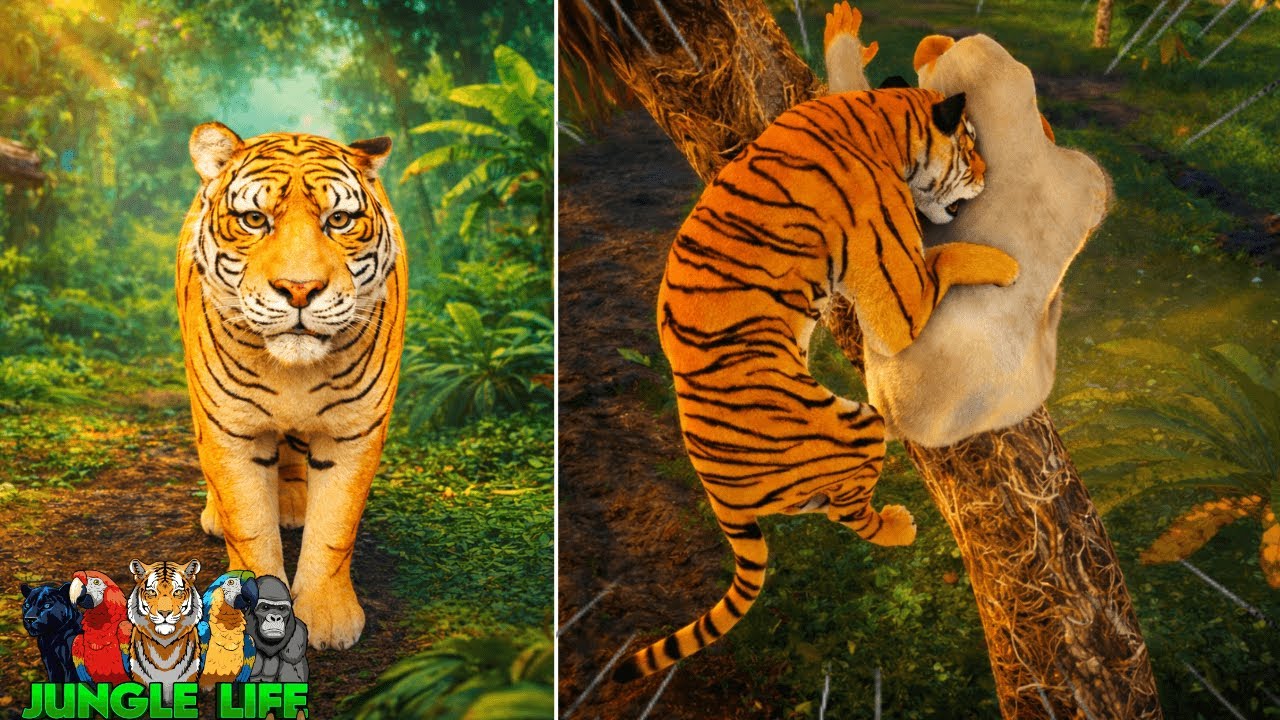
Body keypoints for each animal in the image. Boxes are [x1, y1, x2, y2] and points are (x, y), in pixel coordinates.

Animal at [178, 123, 407, 650]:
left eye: (339, 220)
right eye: (254, 220)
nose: (299, 289)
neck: (292, 373)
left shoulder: (353, 431)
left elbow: (334, 528)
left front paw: (328, 618)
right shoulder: (230, 431)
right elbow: (249, 529)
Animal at [613, 88, 1021, 682]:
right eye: (970, 146)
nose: (988, 174)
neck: (879, 120)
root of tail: (716, 492)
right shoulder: (900, 298)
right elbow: (944, 256)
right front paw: (1004, 263)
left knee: (826, 508)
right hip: (852, 430)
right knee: (851, 513)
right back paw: (899, 525)